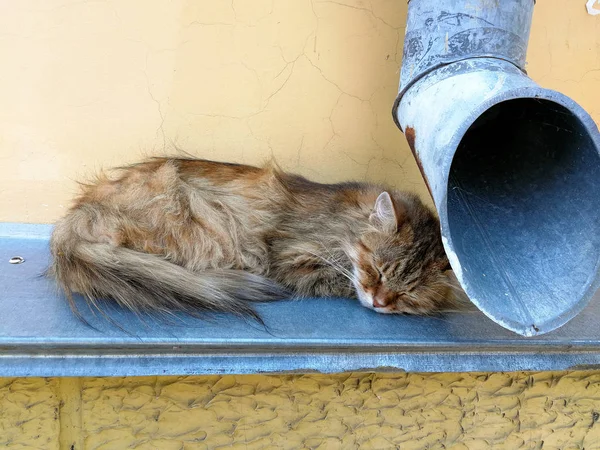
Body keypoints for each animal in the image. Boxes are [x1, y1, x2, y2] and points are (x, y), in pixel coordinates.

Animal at [49, 156, 460, 322]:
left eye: (408, 291)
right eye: (376, 270)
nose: (380, 302)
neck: (345, 221)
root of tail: (75, 219)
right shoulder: (292, 258)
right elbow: (337, 279)